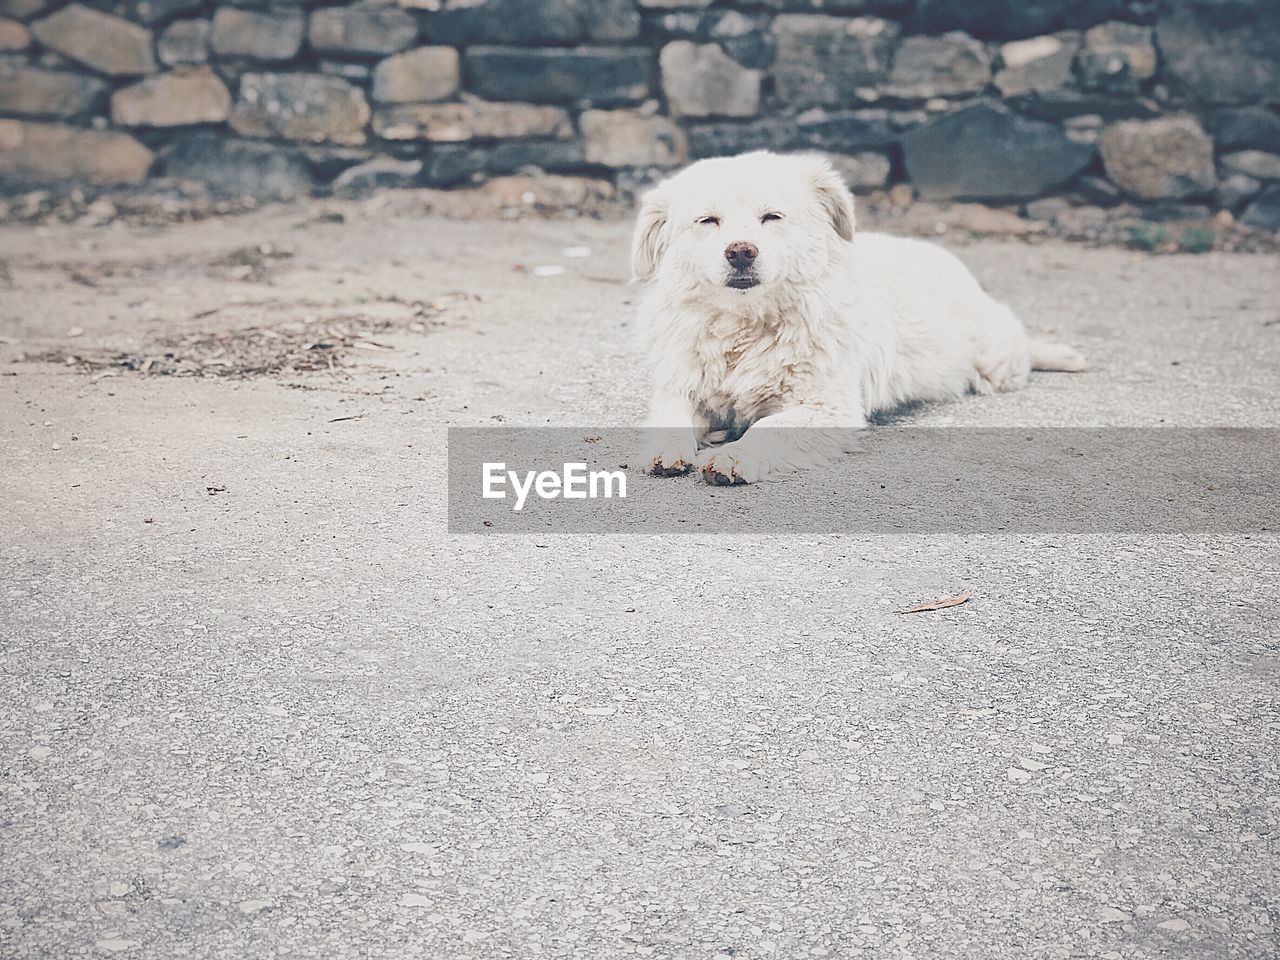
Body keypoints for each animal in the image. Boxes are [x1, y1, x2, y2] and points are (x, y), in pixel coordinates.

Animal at [634, 152, 1085, 483]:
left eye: (772, 217)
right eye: (708, 221)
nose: (741, 251)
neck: (746, 329)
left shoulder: (827, 407)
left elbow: (769, 427)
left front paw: (735, 457)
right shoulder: (683, 388)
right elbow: (671, 419)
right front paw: (666, 451)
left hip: (993, 360)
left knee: (1020, 343)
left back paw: (1062, 356)